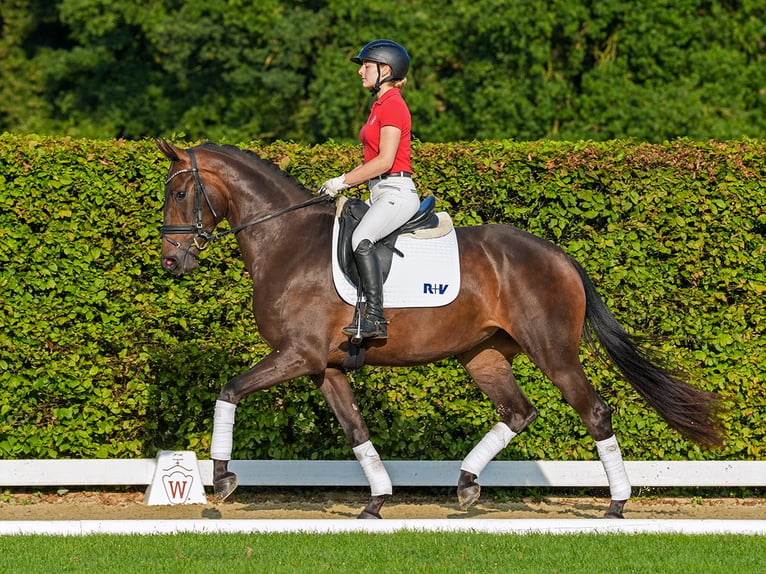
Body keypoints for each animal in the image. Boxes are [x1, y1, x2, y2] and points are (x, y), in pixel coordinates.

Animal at [158, 141, 728, 520]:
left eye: (182, 192)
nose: (171, 261)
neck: (287, 240)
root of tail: (559, 255)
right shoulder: (324, 366)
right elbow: (355, 430)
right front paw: (377, 501)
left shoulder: (297, 355)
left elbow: (229, 390)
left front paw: (222, 481)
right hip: (484, 355)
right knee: (518, 412)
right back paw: (467, 486)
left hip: (553, 352)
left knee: (594, 411)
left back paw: (616, 505)